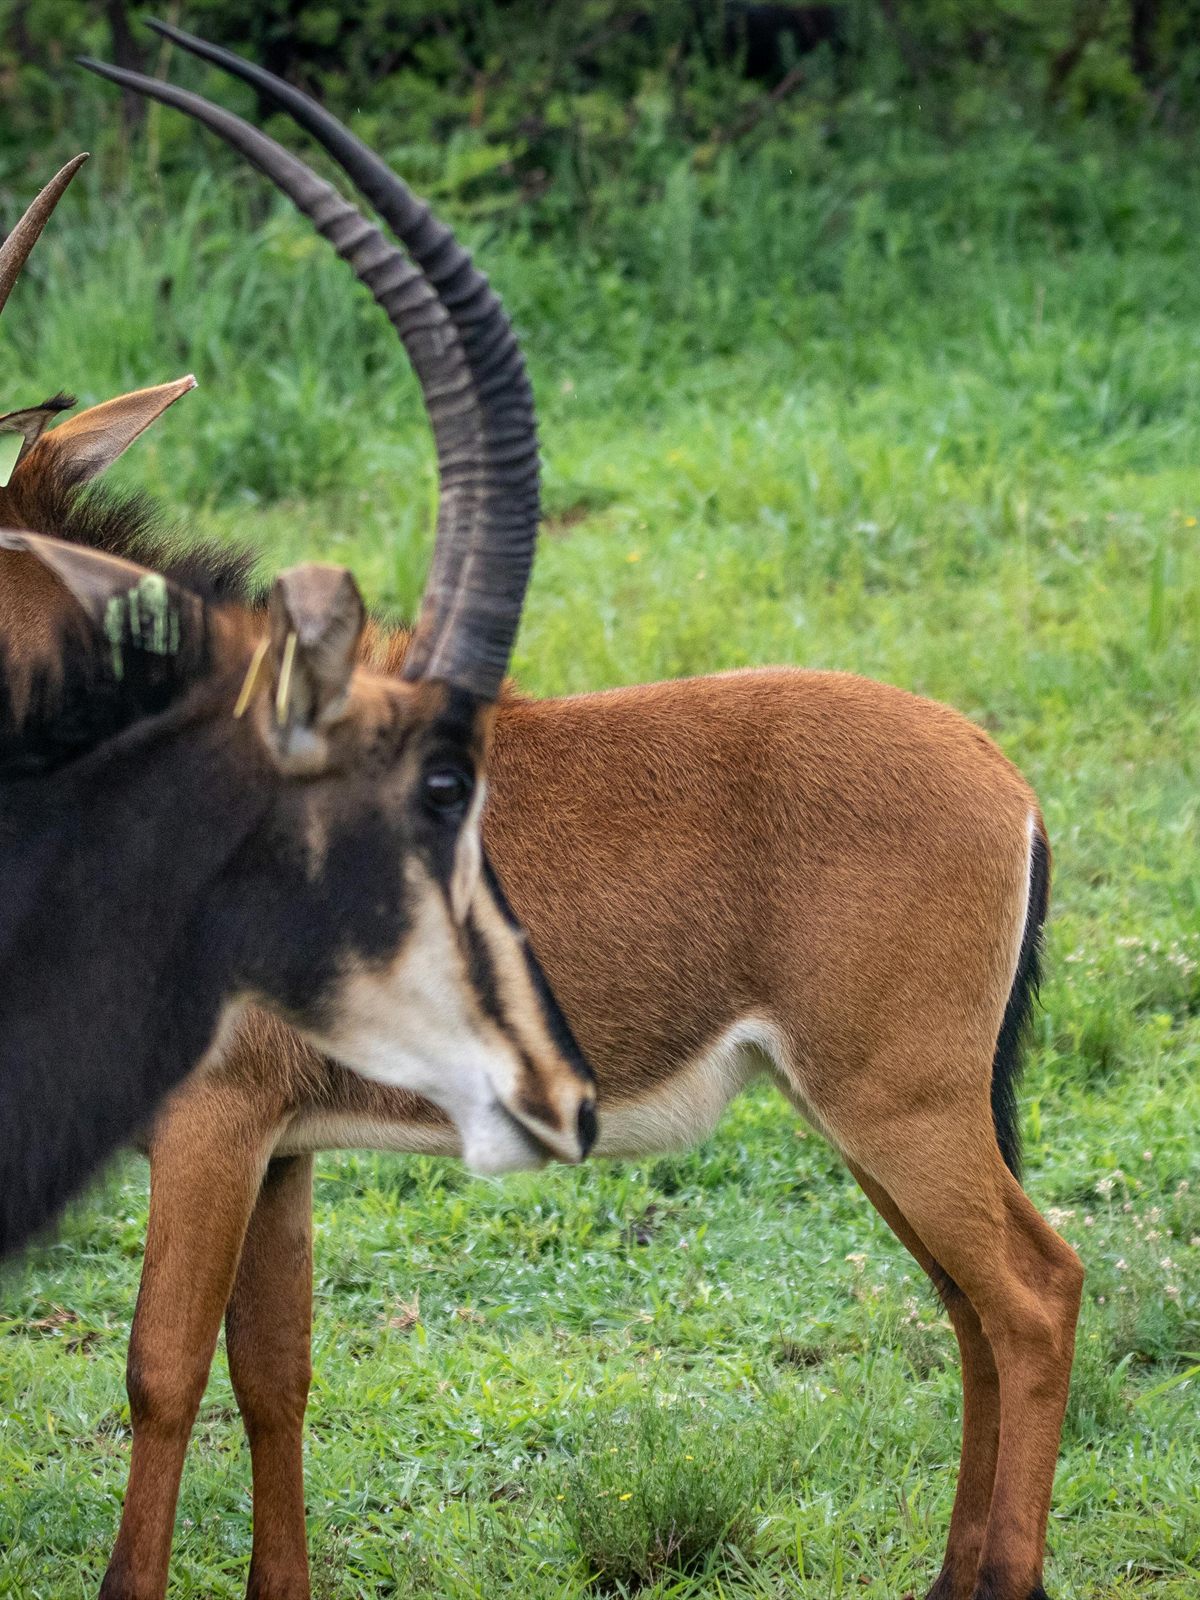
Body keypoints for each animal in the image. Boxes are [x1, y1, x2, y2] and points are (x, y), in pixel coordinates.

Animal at [73, 26, 1085, 1600]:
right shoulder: (281, 1144)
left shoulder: (213, 1124)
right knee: (970, 1304)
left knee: (1034, 1294)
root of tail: (1006, 781)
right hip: (874, 1111)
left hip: (902, 1102)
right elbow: (272, 1373)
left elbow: (161, 1372)